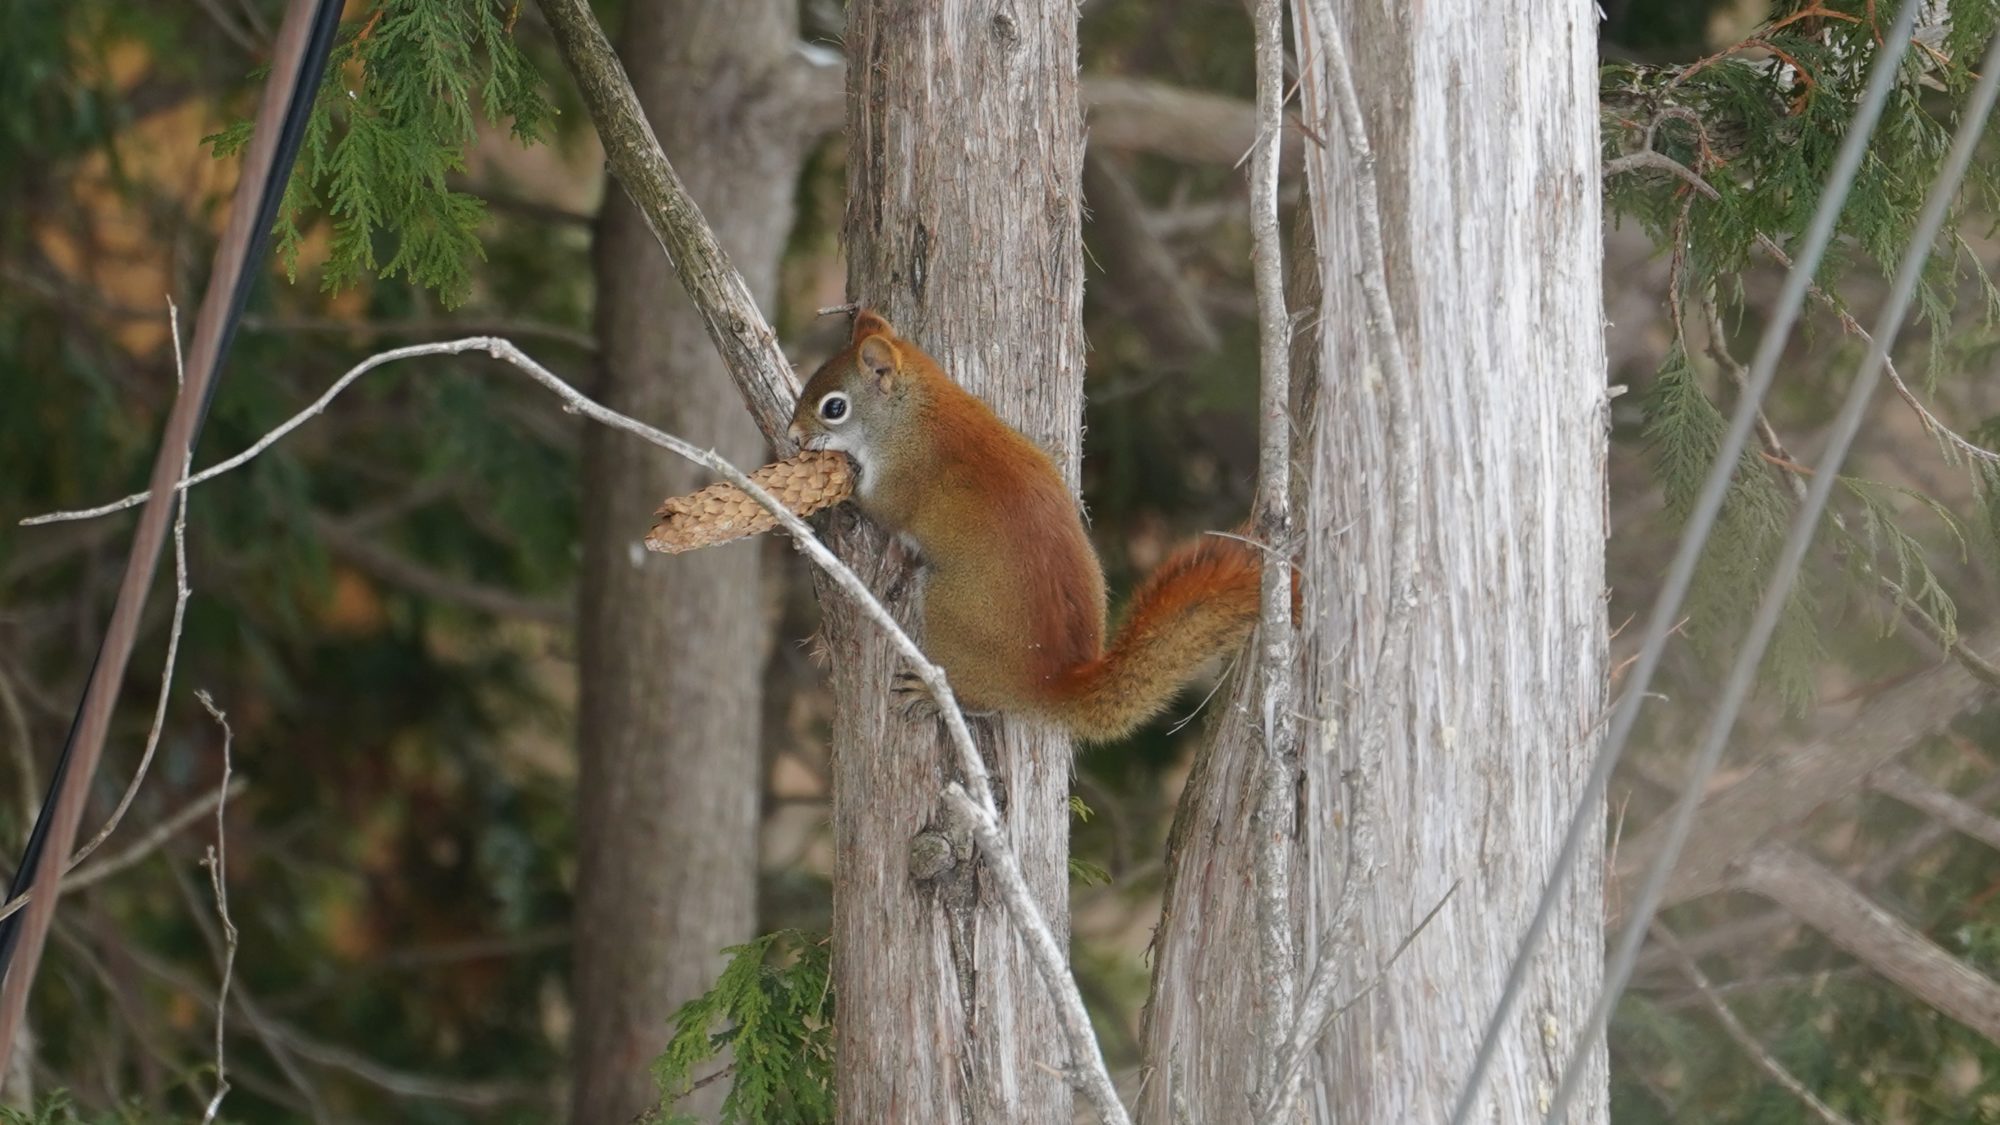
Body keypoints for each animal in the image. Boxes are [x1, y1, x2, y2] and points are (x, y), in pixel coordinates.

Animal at [784, 310, 1264, 740]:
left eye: (834, 407)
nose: (793, 437)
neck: (918, 411)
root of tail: (1050, 683)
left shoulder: (902, 478)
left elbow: (881, 507)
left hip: (950, 608)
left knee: (982, 701)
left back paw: (937, 693)